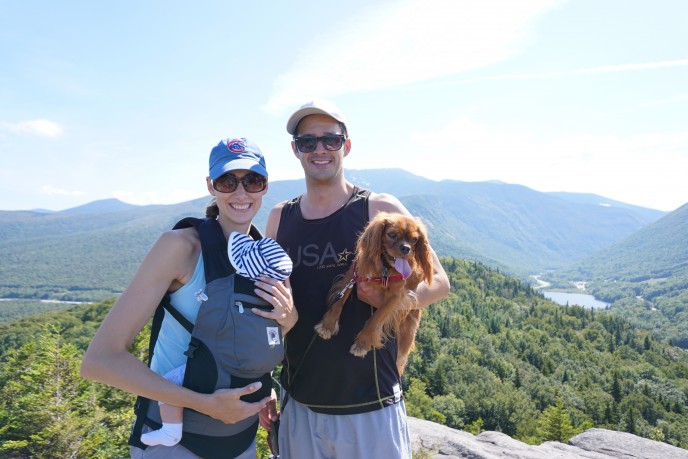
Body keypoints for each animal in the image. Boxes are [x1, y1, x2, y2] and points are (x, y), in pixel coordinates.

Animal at [314, 212, 434, 374]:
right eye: (392, 234)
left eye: (415, 239)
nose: (406, 248)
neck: (385, 269)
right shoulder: (353, 274)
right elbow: (339, 301)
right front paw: (328, 326)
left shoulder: (395, 297)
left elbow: (375, 319)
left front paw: (362, 344)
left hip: (406, 339)